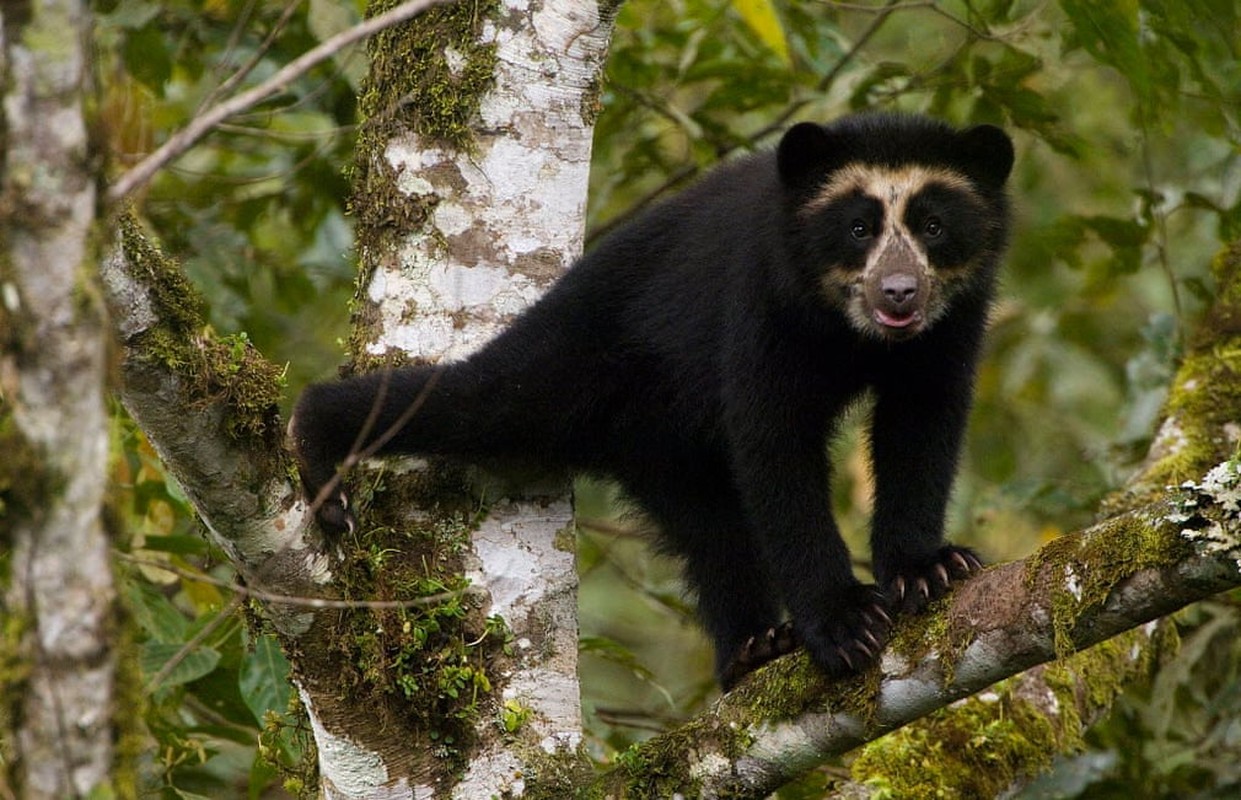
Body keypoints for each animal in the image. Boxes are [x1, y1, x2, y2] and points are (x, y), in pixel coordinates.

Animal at [292, 112, 1017, 684]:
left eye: (932, 226)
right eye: (860, 228)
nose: (899, 292)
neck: (850, 329)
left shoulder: (952, 323)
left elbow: (922, 423)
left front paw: (930, 569)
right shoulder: (760, 301)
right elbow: (774, 445)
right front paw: (842, 623)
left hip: (661, 448)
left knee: (714, 533)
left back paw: (751, 649)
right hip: (581, 357)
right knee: (476, 401)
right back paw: (318, 441)